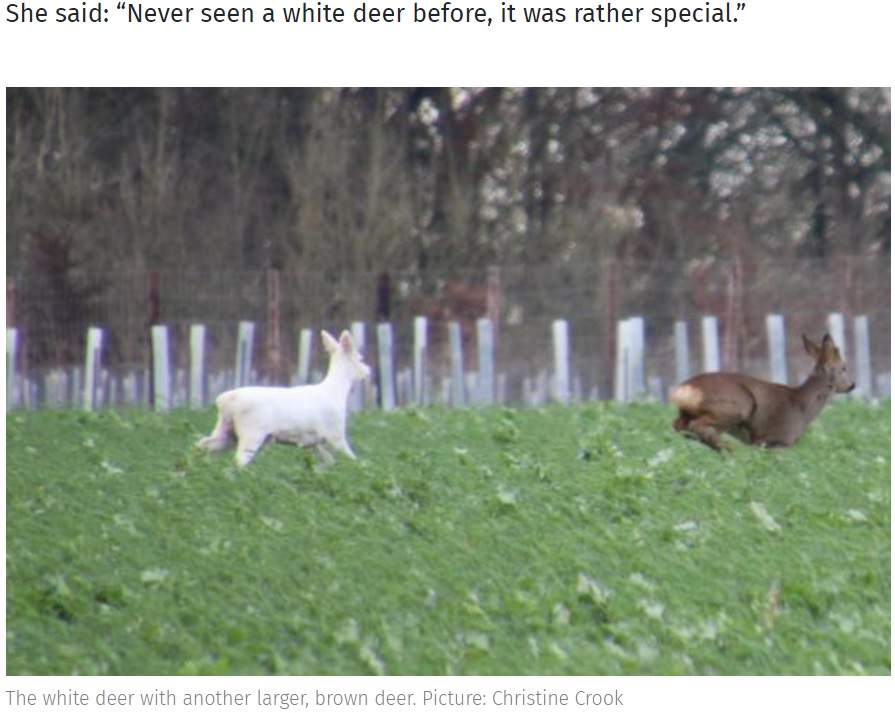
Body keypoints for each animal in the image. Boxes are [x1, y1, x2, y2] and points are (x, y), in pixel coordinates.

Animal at [199, 330, 372, 468]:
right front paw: (362, 468)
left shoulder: (311, 442)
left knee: (203, 445)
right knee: (238, 461)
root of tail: (224, 401)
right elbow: (352, 458)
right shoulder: (335, 434)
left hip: (226, 431)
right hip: (251, 433)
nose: (369, 371)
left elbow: (329, 460)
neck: (336, 392)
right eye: (360, 359)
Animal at [672, 334, 856, 450]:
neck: (802, 407)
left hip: (688, 413)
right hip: (737, 407)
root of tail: (684, 389)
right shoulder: (778, 441)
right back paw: (729, 448)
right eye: (844, 367)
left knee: (678, 426)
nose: (852, 385)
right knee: (695, 425)